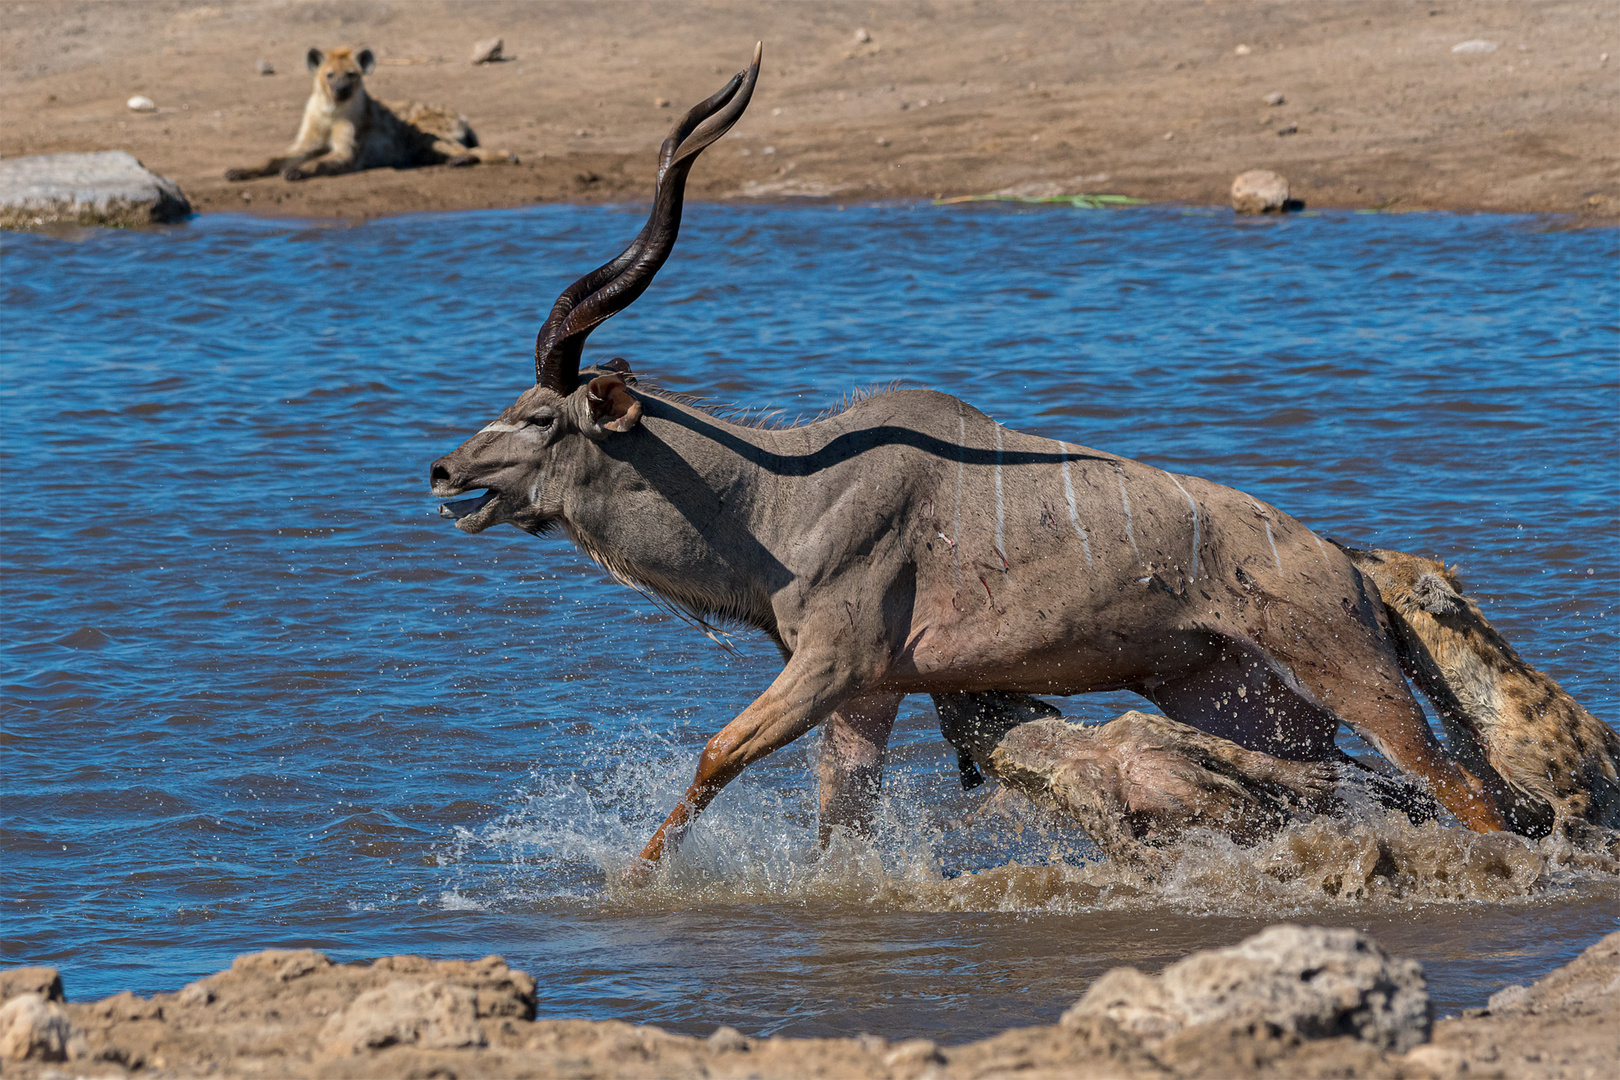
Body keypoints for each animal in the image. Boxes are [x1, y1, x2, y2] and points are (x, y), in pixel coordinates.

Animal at [430, 46, 1503, 867]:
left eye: (541, 418)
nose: (443, 472)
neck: (781, 498)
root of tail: (1349, 569)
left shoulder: (831, 669)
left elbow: (716, 756)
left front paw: (638, 876)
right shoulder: (869, 695)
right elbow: (838, 825)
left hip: (1355, 682)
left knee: (1464, 791)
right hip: (1241, 703)